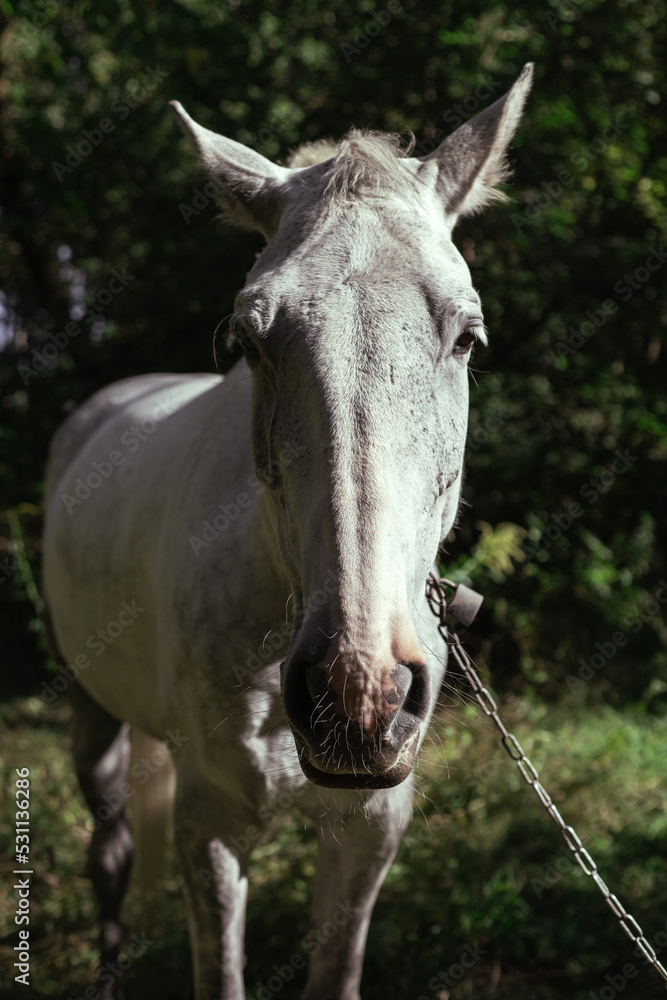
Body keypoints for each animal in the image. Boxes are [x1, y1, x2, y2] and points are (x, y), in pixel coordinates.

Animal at [42, 63, 533, 1000]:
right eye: (248, 336)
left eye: (467, 336)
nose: (359, 692)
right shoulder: (211, 829)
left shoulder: (369, 826)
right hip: (91, 713)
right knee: (109, 853)